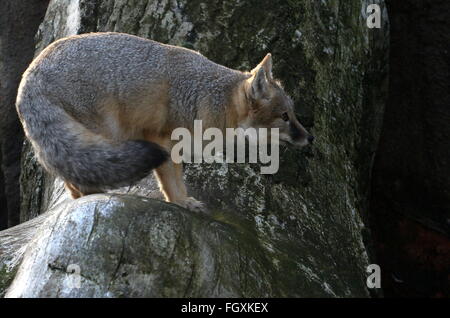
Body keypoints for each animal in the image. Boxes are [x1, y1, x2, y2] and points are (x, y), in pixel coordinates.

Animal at [16, 32, 312, 211]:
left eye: (293, 114)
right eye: (285, 117)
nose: (311, 137)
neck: (208, 96)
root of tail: (29, 75)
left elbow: (177, 177)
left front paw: (185, 200)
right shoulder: (160, 139)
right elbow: (170, 178)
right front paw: (181, 202)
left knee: (70, 178)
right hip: (104, 132)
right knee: (80, 176)